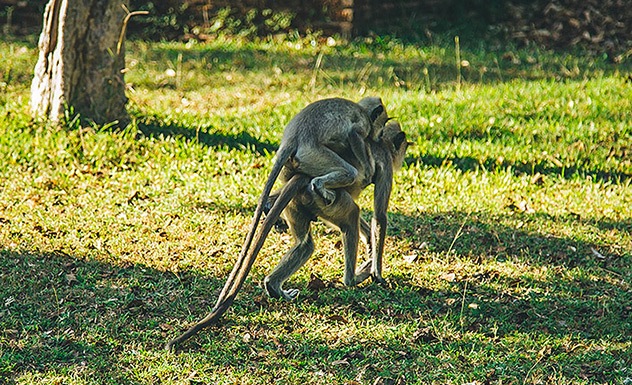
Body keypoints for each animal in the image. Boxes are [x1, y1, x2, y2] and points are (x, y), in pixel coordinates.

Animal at [165, 121, 408, 352]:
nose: (402, 158)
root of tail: (302, 178)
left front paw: (370, 245)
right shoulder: (385, 164)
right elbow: (380, 216)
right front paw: (377, 272)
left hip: (301, 204)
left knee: (305, 244)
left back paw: (273, 284)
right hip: (323, 199)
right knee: (351, 215)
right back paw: (352, 279)